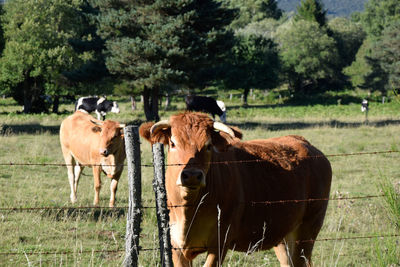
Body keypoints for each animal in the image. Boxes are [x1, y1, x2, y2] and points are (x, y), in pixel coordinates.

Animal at [139, 112, 332, 267]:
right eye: (173, 143)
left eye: (208, 145)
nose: (192, 175)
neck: (189, 209)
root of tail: (304, 143)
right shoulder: (175, 244)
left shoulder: (220, 241)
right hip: (283, 234)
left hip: (308, 230)